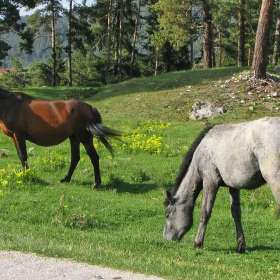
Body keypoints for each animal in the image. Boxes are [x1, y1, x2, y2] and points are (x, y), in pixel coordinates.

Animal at [163, 117, 280, 253]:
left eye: (167, 215)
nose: (166, 239)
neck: (202, 150)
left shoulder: (210, 180)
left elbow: (205, 212)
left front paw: (197, 242)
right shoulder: (233, 186)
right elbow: (236, 213)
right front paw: (240, 245)